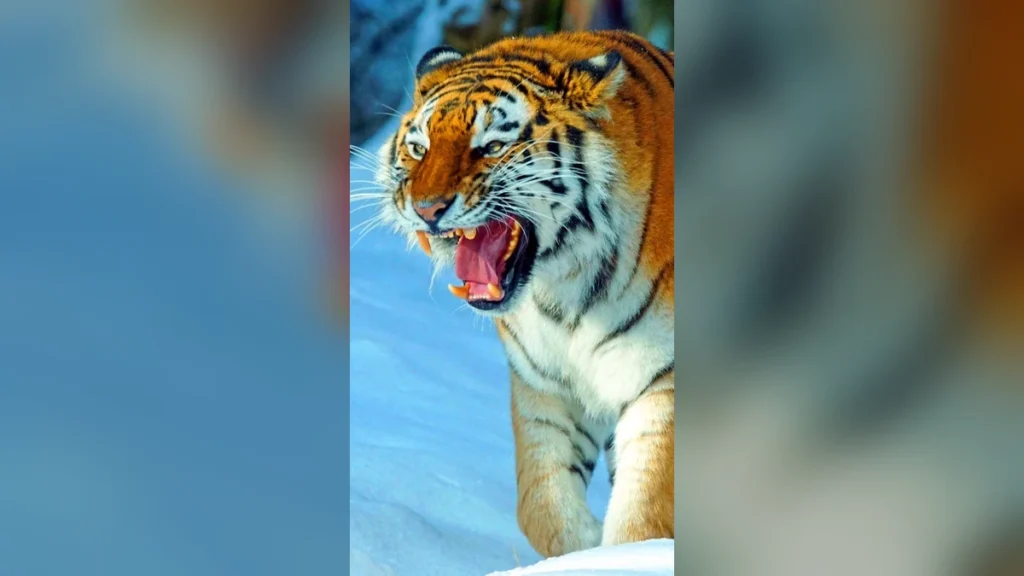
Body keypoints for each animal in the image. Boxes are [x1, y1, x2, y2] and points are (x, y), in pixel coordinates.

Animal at [369, 30, 675, 558]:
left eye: (491, 146)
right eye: (419, 148)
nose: (426, 208)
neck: (568, 291)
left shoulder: (666, 381)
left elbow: (645, 515)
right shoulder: (544, 384)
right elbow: (541, 505)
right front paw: (584, 549)